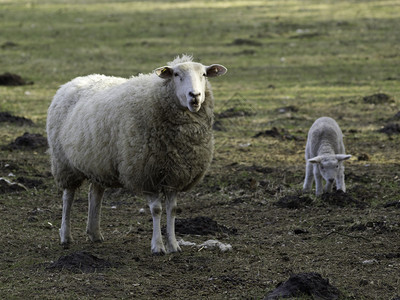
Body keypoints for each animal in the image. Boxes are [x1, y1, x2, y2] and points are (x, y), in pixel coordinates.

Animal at [46, 55, 228, 254]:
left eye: (204, 74)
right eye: (176, 75)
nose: (194, 96)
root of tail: (72, 81)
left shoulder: (174, 174)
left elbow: (172, 210)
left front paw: (173, 245)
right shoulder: (146, 173)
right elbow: (156, 210)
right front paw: (158, 246)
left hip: (98, 162)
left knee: (95, 194)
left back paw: (94, 234)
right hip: (64, 162)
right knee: (68, 197)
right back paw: (65, 236)